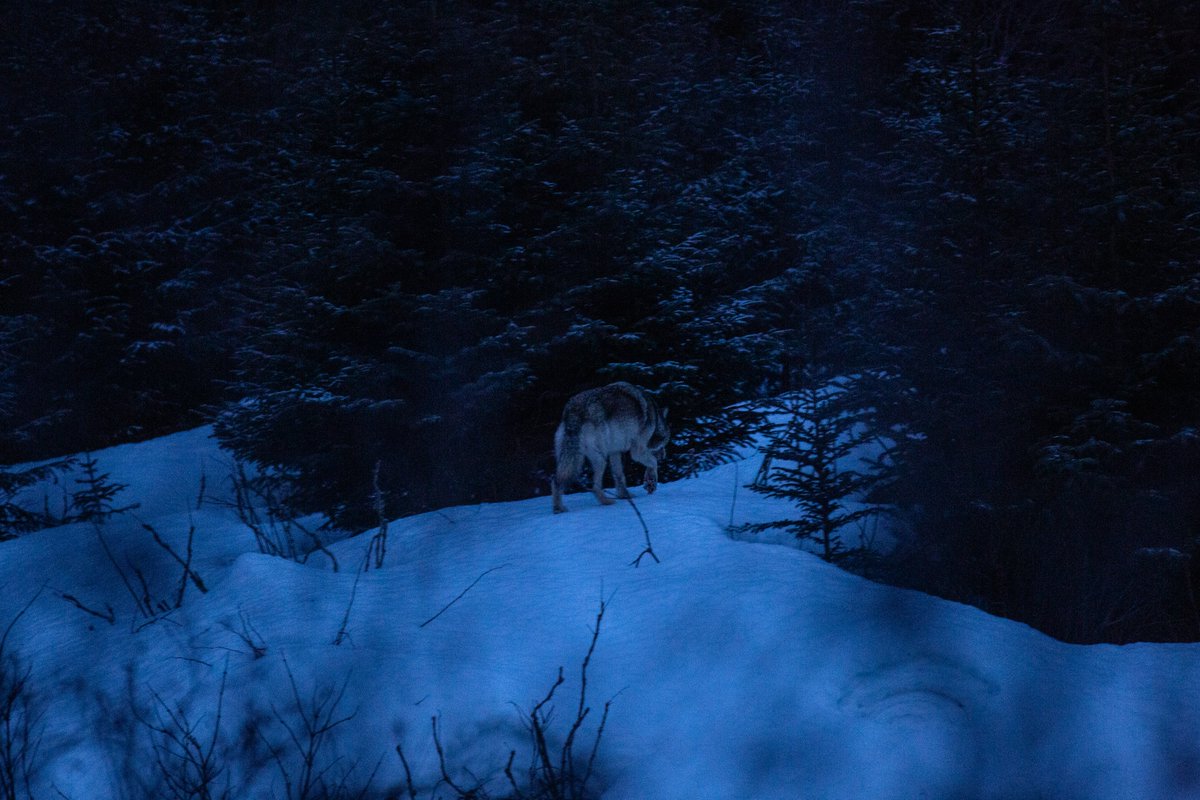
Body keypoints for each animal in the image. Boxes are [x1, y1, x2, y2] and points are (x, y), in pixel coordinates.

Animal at [551, 382, 670, 513]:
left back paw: (558, 508)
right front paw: (651, 483)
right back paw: (606, 502)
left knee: (556, 481)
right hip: (600, 460)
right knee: (594, 486)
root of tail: (574, 411)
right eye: (664, 444)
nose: (664, 457)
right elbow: (653, 463)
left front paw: (625, 495)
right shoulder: (637, 452)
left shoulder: (615, 452)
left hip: (572, 458)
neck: (655, 420)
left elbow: (619, 476)